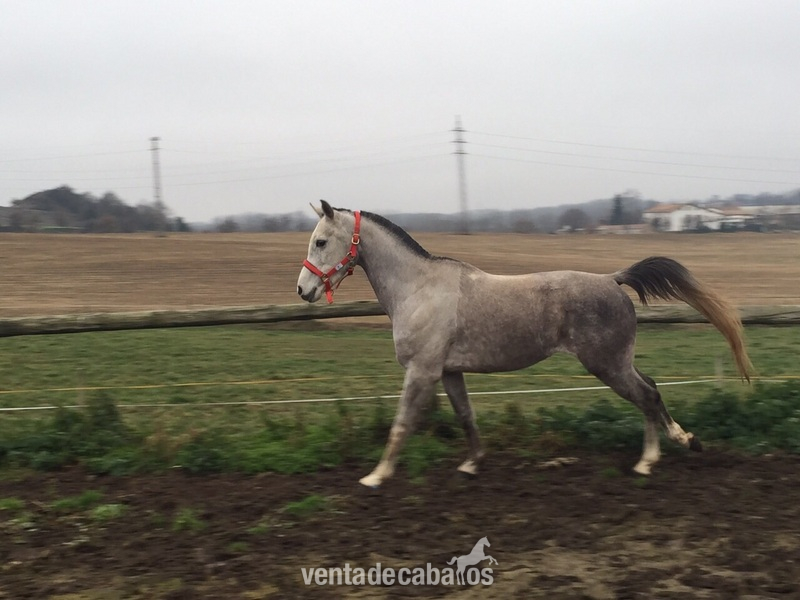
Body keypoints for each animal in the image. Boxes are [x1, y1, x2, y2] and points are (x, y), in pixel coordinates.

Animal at [297, 200, 752, 488]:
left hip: (608, 365)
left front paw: (375, 476)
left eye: (321, 241)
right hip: (618, 362)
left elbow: (401, 424)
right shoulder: (449, 371)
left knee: (647, 396)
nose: (303, 290)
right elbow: (466, 417)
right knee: (651, 391)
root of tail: (612, 280)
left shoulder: (422, 371)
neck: (418, 289)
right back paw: (659, 454)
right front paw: (471, 465)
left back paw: (663, 452)